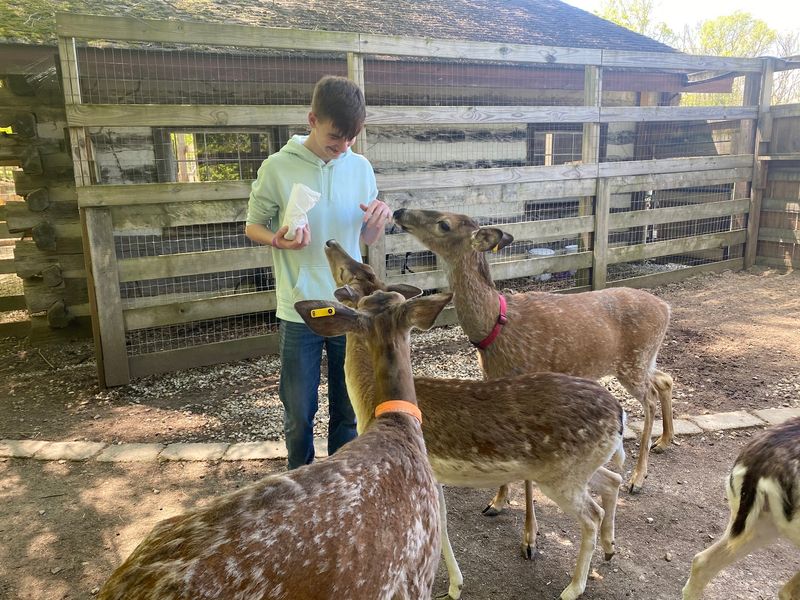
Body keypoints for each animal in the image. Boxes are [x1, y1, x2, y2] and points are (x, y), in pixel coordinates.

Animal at [323, 238, 626, 600]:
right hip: (576, 468)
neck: (370, 402)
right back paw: (609, 548)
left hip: (562, 476)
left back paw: (573, 587)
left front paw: (453, 587)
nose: (330, 242)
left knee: (592, 514)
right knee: (613, 480)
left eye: (353, 272)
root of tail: (619, 412)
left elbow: (439, 527)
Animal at [393, 208, 674, 503]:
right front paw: (497, 501)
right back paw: (663, 441)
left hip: (634, 361)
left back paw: (638, 477)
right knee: (665, 379)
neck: (494, 327)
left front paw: (502, 501)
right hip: (644, 360)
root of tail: (666, 308)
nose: (399, 211)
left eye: (444, 224)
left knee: (650, 399)